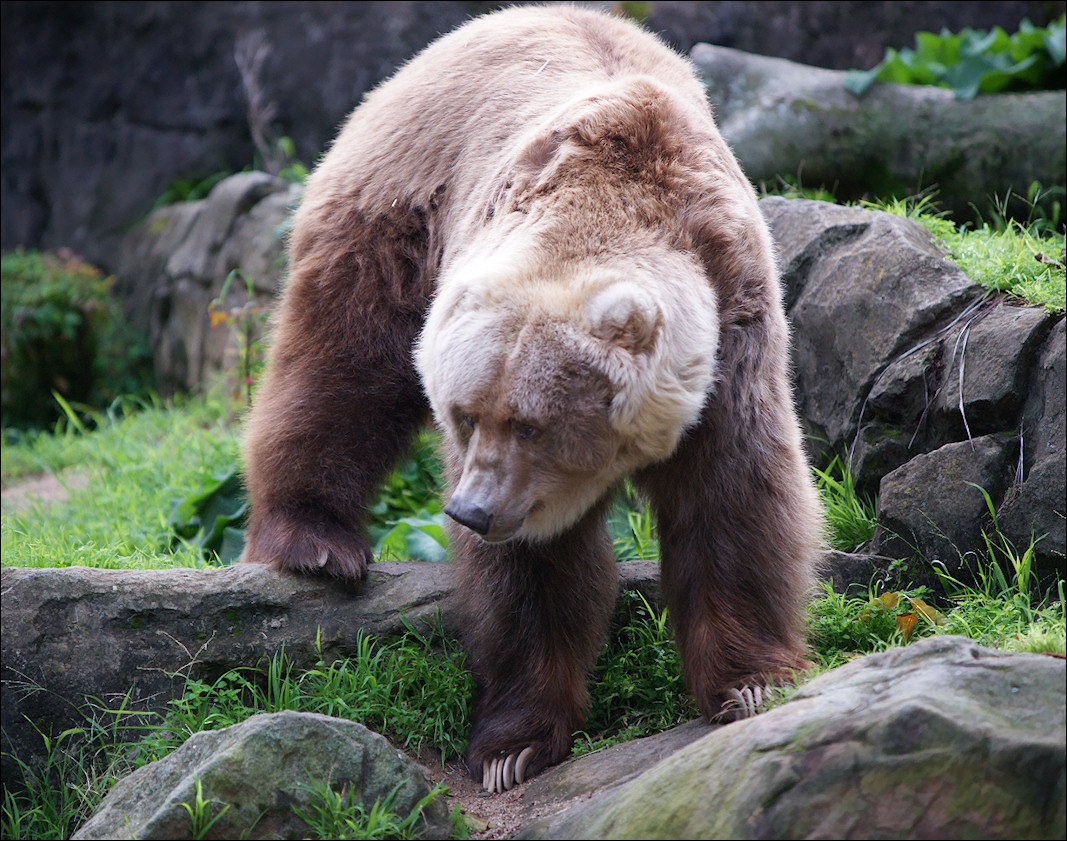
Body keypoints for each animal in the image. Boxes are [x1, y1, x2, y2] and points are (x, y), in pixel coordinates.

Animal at [245, 4, 819, 794]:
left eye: (531, 425)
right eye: (464, 414)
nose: (471, 509)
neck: (610, 195)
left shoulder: (734, 327)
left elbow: (733, 495)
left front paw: (751, 682)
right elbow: (529, 575)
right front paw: (511, 746)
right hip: (391, 206)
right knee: (339, 365)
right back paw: (314, 541)